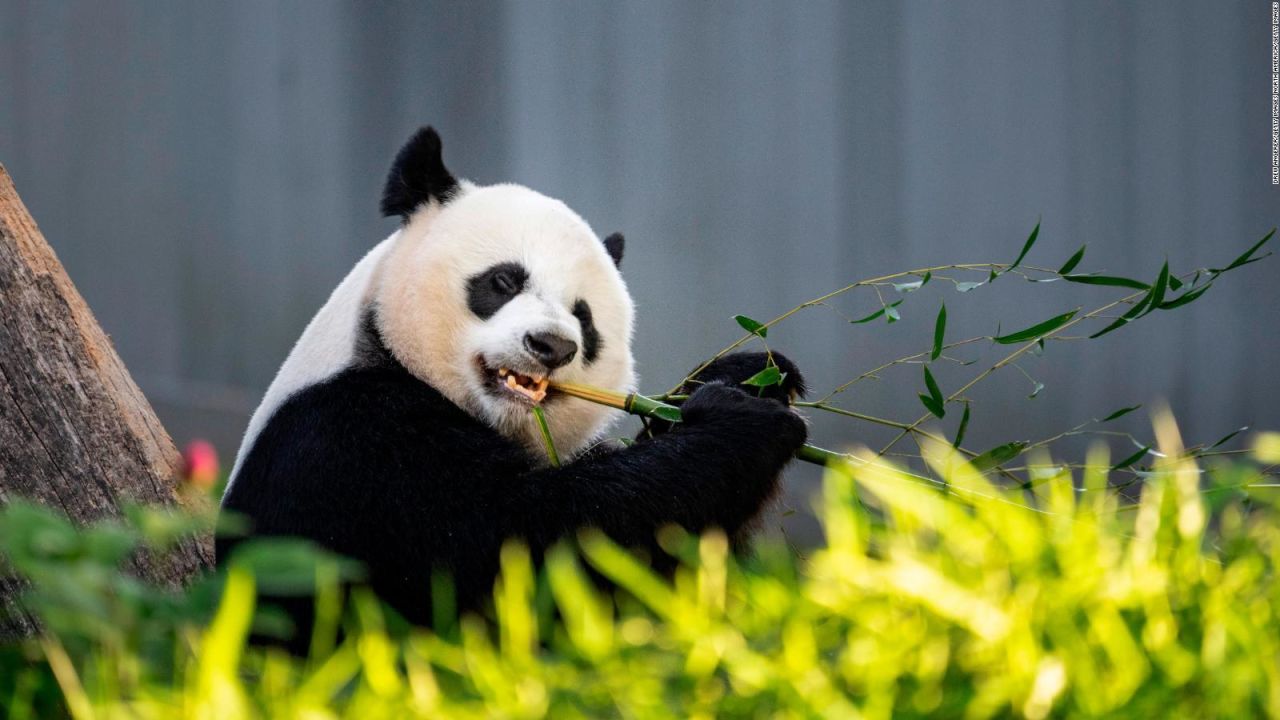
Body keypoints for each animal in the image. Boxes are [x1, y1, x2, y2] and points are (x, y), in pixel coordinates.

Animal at [215, 126, 803, 635]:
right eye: (503, 281)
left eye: (584, 317)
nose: (552, 346)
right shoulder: (352, 443)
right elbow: (528, 545)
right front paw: (748, 423)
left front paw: (755, 377)